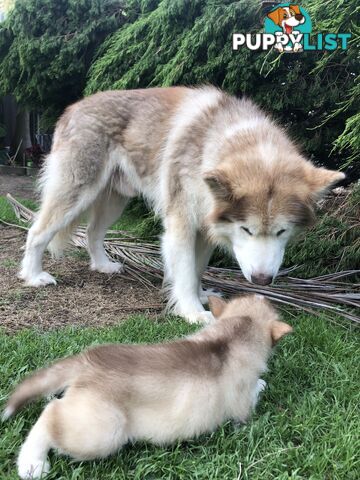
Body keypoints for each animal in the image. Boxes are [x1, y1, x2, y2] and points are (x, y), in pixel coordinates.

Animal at [2, 294, 292, 478]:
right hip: (102, 432)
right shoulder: (242, 409)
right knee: (50, 414)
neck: (236, 327)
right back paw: (32, 464)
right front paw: (262, 382)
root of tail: (86, 361)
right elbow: (252, 396)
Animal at [18, 88, 344, 324]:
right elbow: (185, 272)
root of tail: (72, 107)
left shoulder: (207, 227)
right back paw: (33, 276)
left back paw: (102, 265)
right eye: (246, 230)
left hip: (113, 202)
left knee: (92, 233)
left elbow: (197, 270)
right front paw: (193, 312)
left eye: (281, 232)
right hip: (75, 194)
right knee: (36, 232)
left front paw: (201, 296)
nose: (262, 280)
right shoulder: (181, 226)